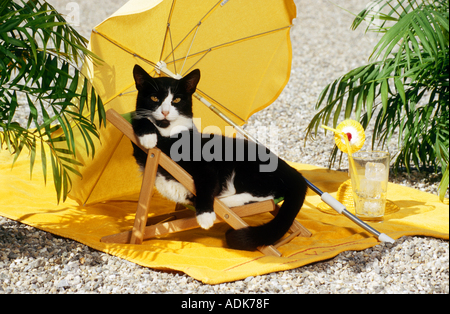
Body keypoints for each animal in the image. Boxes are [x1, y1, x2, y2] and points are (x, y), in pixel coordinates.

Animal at [130, 65, 306, 251]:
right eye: (154, 98)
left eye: (176, 100)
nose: (164, 112)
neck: (168, 134)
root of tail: (293, 170)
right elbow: (140, 119)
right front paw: (148, 135)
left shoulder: (205, 167)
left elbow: (207, 183)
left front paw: (205, 216)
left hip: (249, 169)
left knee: (265, 196)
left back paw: (226, 202)